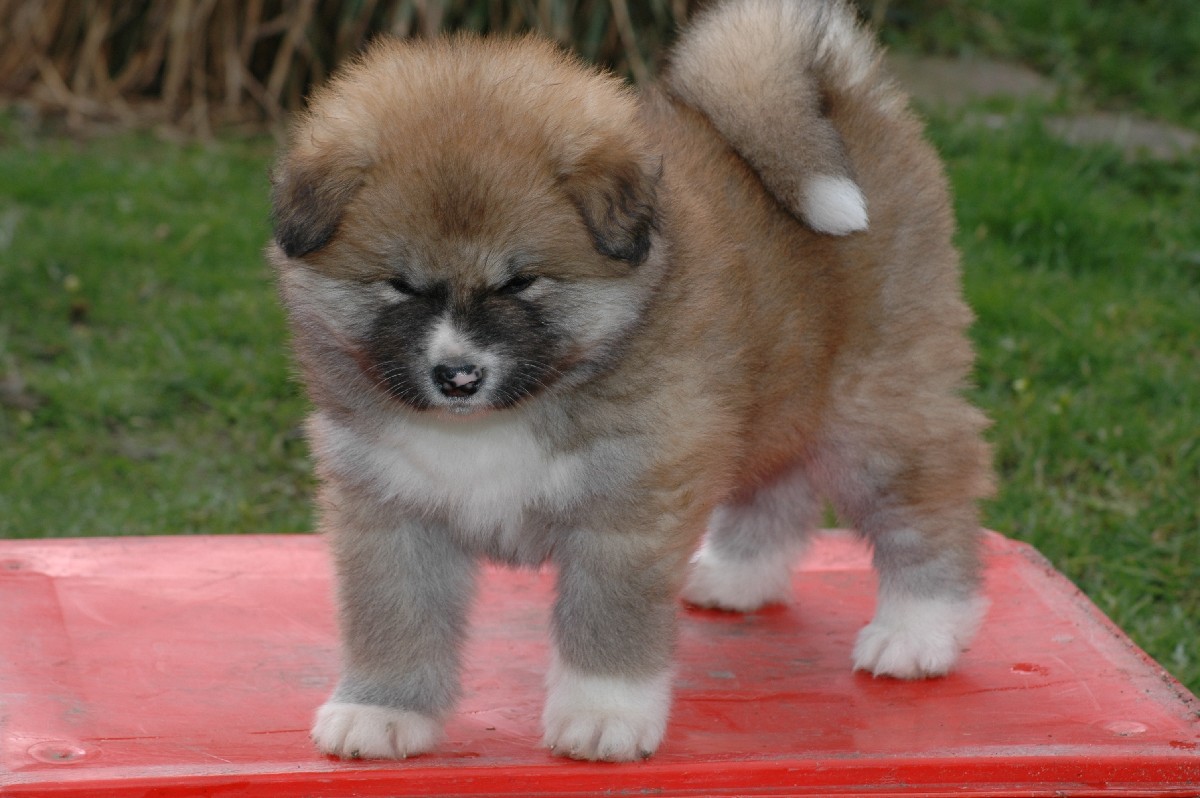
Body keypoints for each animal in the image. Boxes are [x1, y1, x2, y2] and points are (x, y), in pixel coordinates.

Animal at [269, 0, 993, 763]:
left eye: (520, 282)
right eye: (401, 286)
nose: (458, 376)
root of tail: (845, 100)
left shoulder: (628, 503)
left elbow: (607, 623)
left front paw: (601, 715)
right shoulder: (391, 508)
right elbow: (394, 618)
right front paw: (382, 710)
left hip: (875, 409)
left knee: (927, 502)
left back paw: (919, 630)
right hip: (774, 391)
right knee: (778, 483)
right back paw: (740, 576)